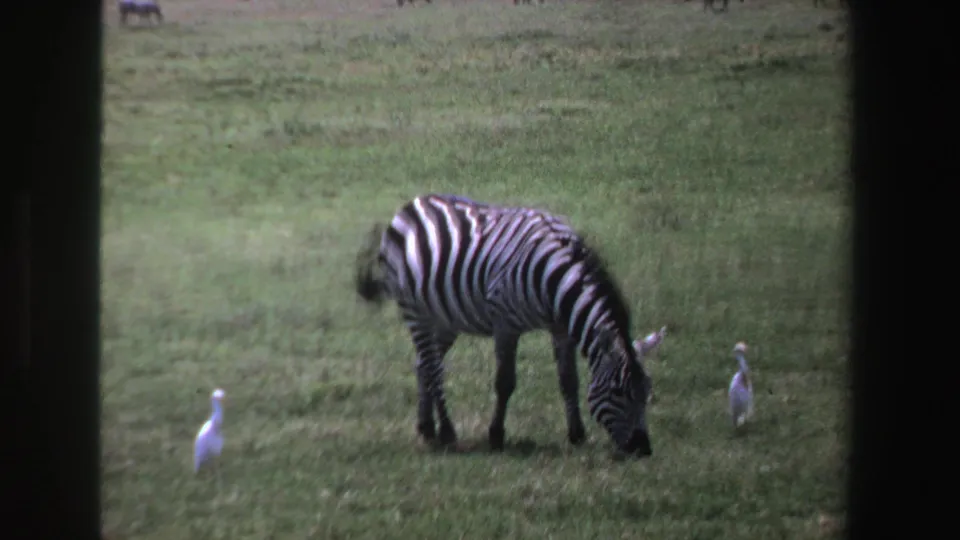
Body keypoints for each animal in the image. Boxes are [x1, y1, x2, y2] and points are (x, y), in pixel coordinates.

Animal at [355, 193, 653, 458]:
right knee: (433, 368)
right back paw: (447, 432)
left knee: (423, 364)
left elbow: (569, 380)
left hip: (445, 318)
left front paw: (577, 434)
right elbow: (505, 382)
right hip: (415, 311)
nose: (643, 449)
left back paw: (427, 428)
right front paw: (496, 435)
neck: (553, 277)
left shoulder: (560, 328)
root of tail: (411, 205)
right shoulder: (505, 324)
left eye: (647, 393)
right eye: (618, 392)